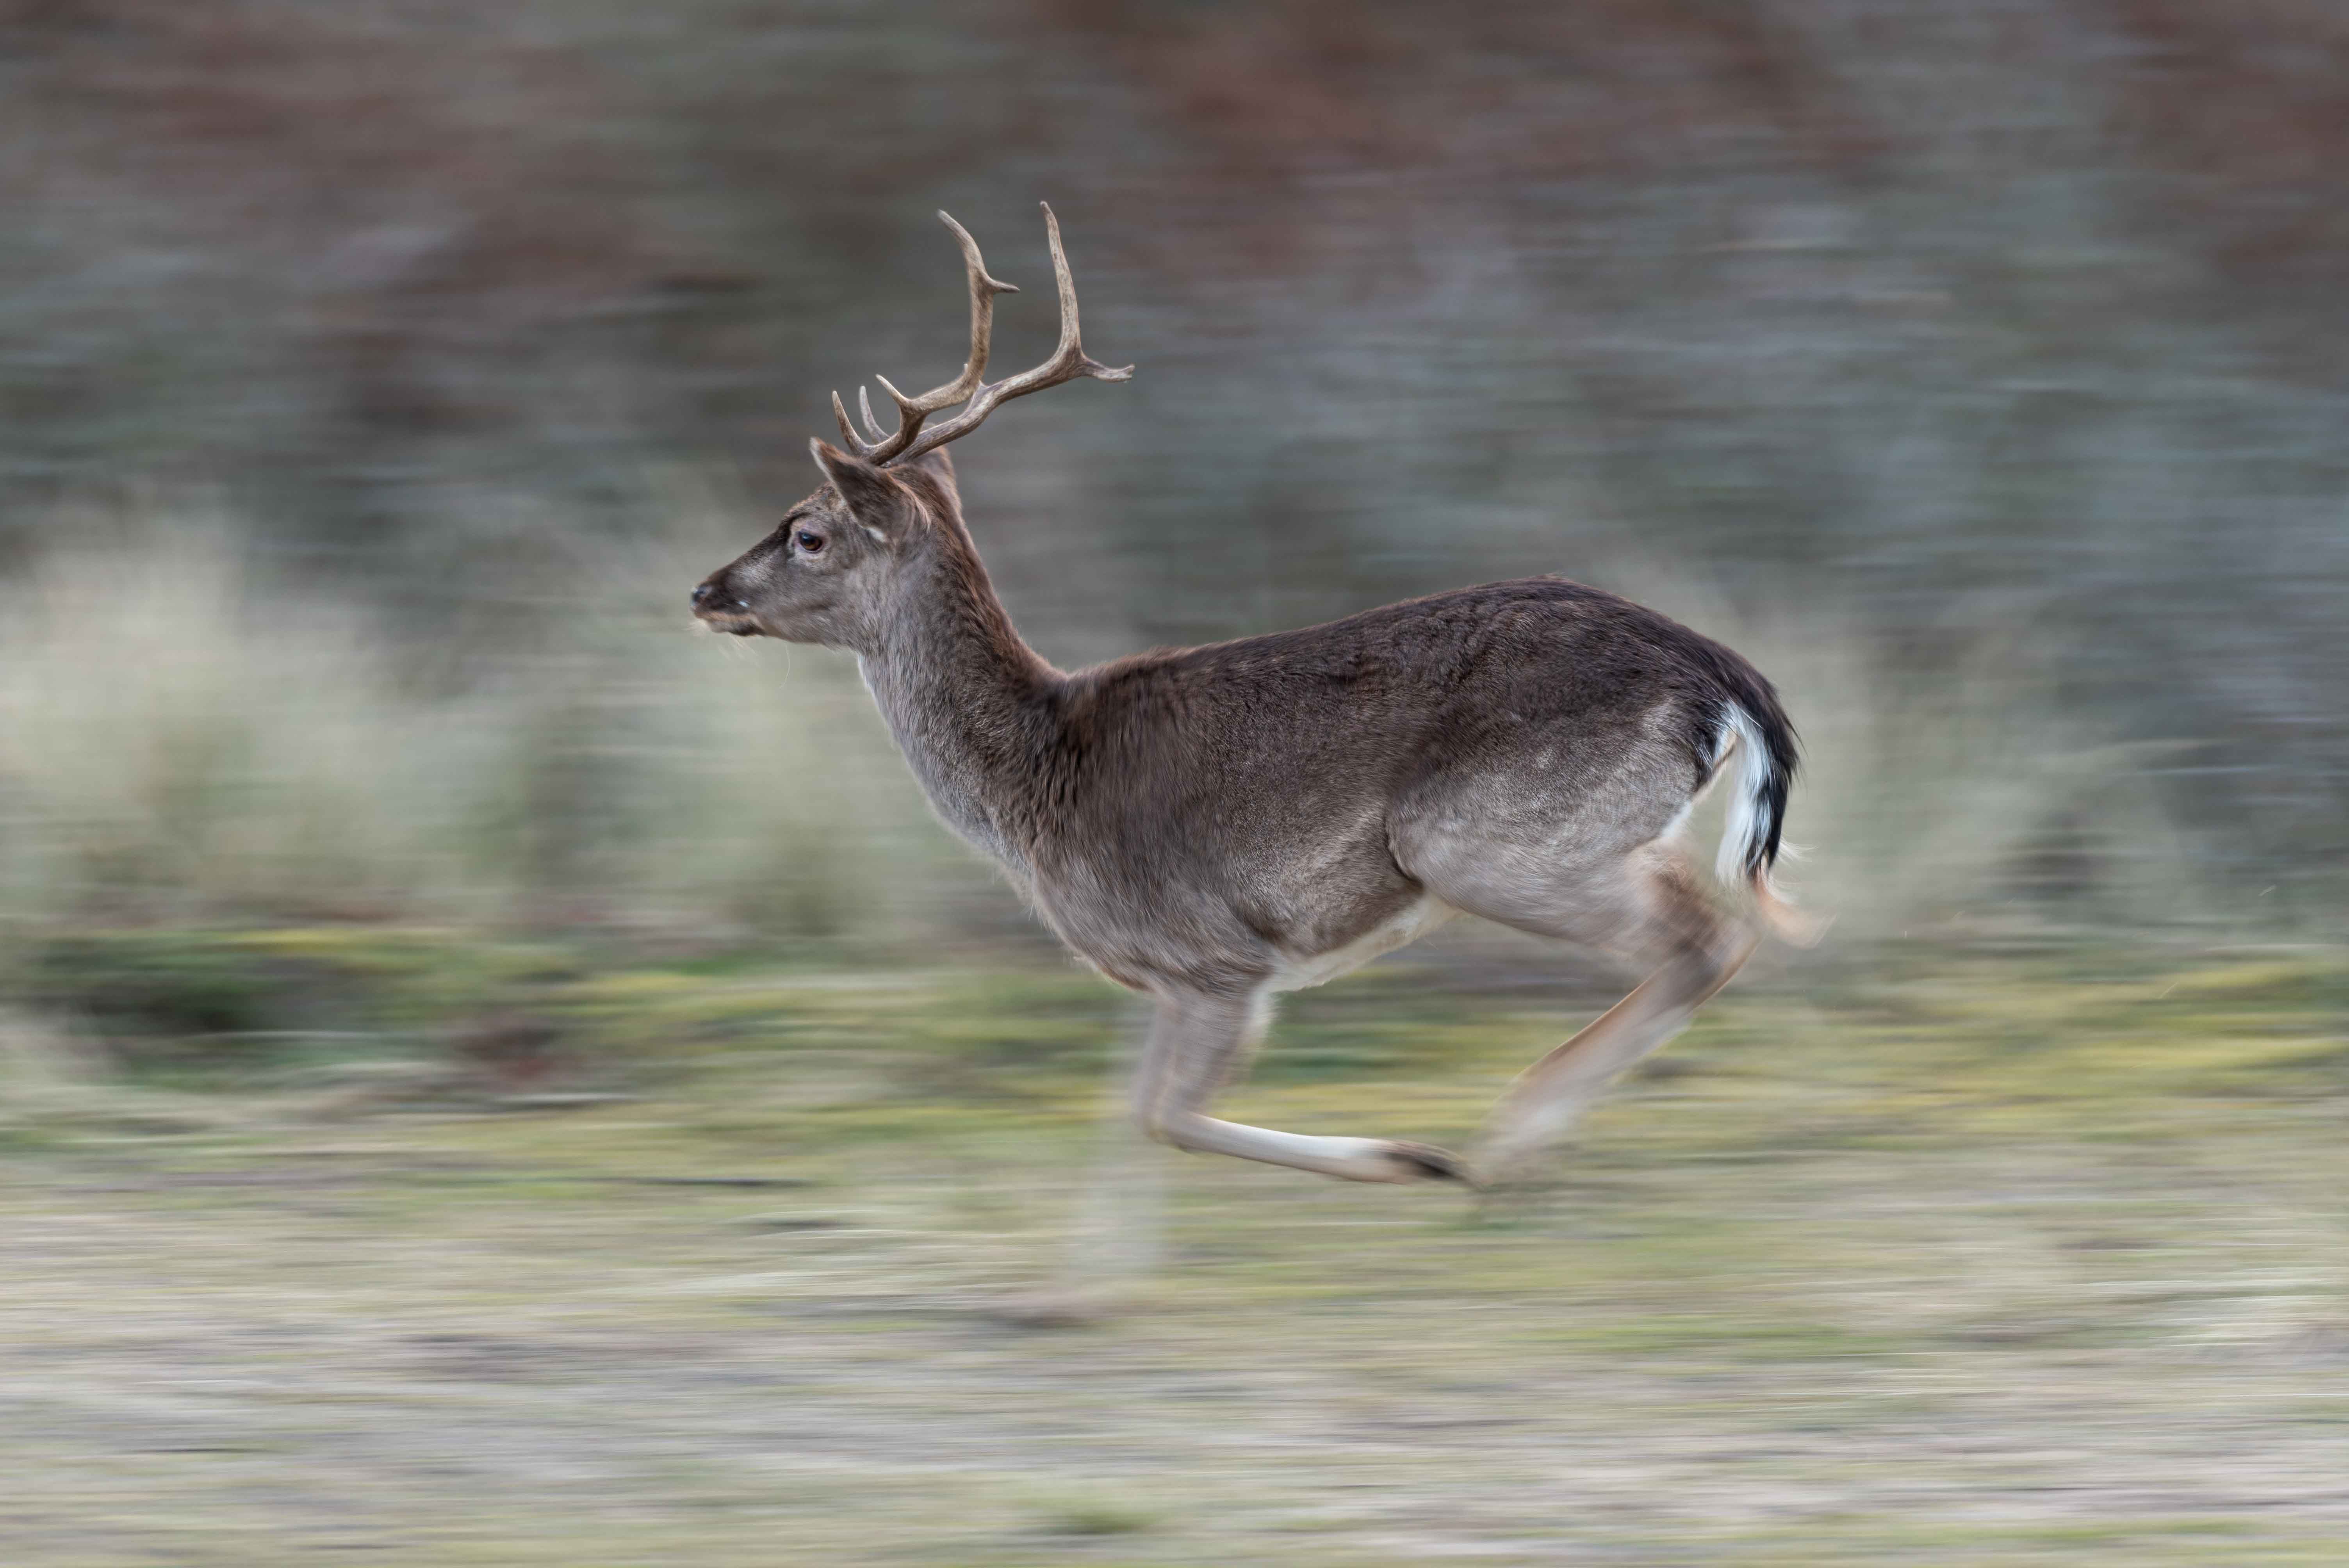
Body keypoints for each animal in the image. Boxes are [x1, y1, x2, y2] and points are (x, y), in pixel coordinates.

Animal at [686, 208, 1804, 1188]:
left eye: (806, 533)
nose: (705, 591)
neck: (1035, 779)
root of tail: (1726, 677)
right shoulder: (1158, 976)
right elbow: (1129, 1119)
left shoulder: (1215, 953)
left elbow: (1169, 1116)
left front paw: (1405, 1157)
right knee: (1719, 919)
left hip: (1482, 841)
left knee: (1706, 935)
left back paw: (1500, 1144)